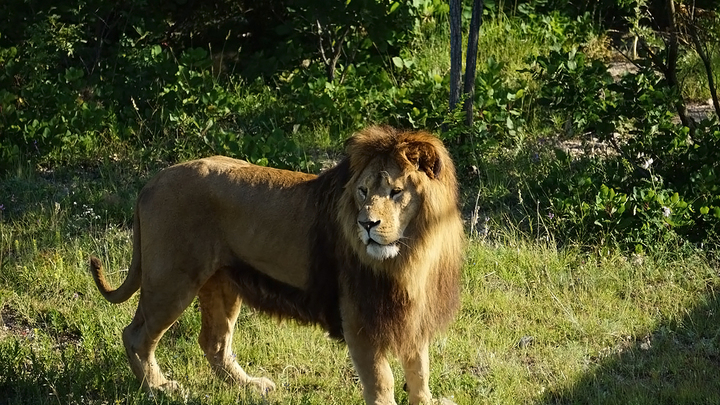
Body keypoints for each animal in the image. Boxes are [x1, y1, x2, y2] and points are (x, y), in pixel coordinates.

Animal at [90, 126, 464, 404]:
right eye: (362, 191)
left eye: (396, 192)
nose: (366, 224)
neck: (411, 255)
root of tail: (153, 180)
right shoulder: (359, 317)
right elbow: (381, 380)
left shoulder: (415, 312)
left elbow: (420, 368)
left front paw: (426, 399)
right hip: (171, 280)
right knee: (136, 335)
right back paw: (159, 388)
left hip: (220, 283)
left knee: (213, 342)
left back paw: (249, 385)